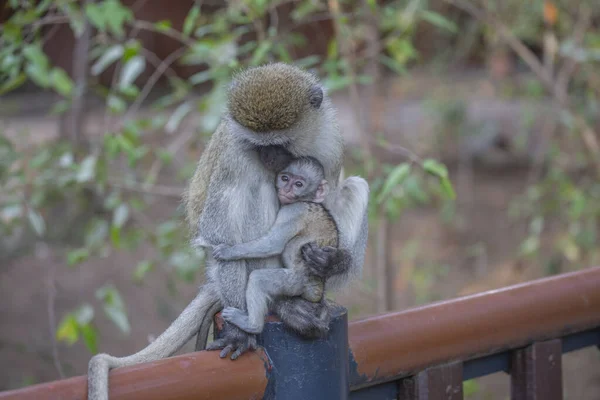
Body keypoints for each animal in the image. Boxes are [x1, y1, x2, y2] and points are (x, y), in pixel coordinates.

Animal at [211, 156, 354, 334]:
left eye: (298, 184)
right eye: (285, 178)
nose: (286, 189)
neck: (307, 199)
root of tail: (317, 288)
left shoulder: (293, 210)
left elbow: (273, 244)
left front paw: (229, 251)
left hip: (295, 281)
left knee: (258, 279)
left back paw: (252, 325)